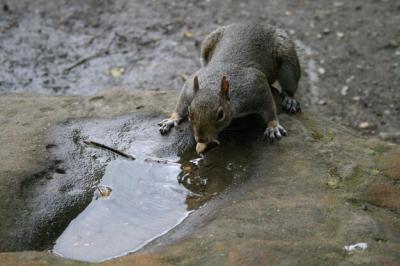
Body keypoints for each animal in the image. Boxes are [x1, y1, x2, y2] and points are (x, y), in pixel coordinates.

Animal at [158, 23, 302, 153]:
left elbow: (269, 106)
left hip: (286, 56)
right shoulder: (189, 89)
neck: (213, 83)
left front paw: (273, 126)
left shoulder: (255, 86)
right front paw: (171, 120)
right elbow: (180, 103)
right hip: (207, 44)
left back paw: (289, 99)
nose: (201, 139)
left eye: (220, 115)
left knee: (290, 84)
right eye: (189, 112)